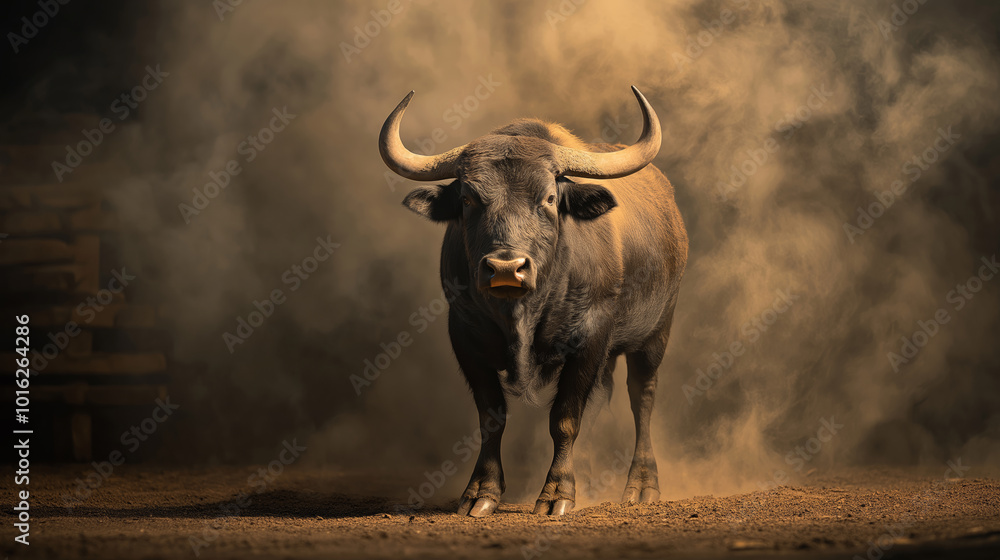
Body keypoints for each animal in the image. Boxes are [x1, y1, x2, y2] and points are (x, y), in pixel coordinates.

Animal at [379, 87, 688, 517]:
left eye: (550, 197)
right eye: (469, 199)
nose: (506, 268)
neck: (521, 314)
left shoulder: (591, 336)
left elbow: (564, 418)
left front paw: (558, 494)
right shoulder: (464, 334)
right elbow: (491, 416)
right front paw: (482, 492)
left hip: (656, 332)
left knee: (641, 396)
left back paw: (641, 486)